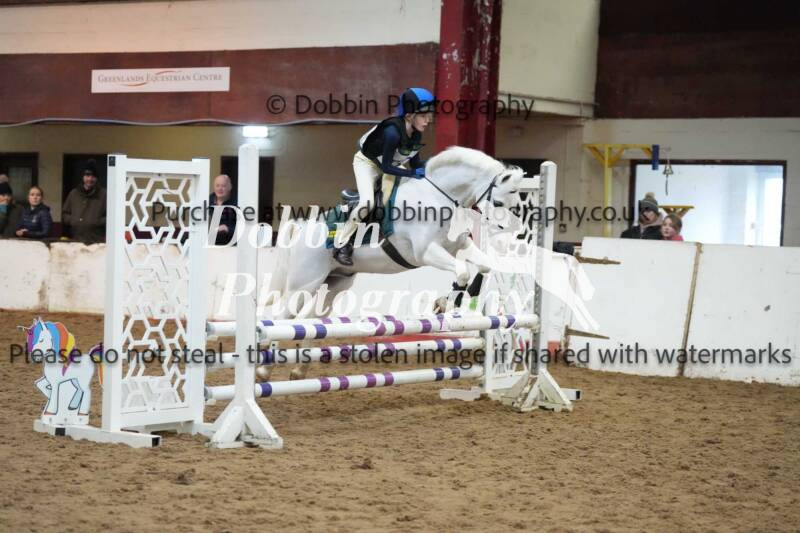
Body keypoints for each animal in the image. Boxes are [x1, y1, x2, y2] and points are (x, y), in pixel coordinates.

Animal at [259, 146, 525, 380]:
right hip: (304, 284)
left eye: (516, 205)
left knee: (313, 320)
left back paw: (298, 371)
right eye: (498, 203)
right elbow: (461, 272)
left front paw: (456, 298)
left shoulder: (458, 245)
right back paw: (263, 370)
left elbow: (483, 266)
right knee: (283, 318)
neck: (438, 197)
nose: (509, 237)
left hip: (335, 284)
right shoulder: (426, 252)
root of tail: (302, 227)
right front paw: (444, 304)